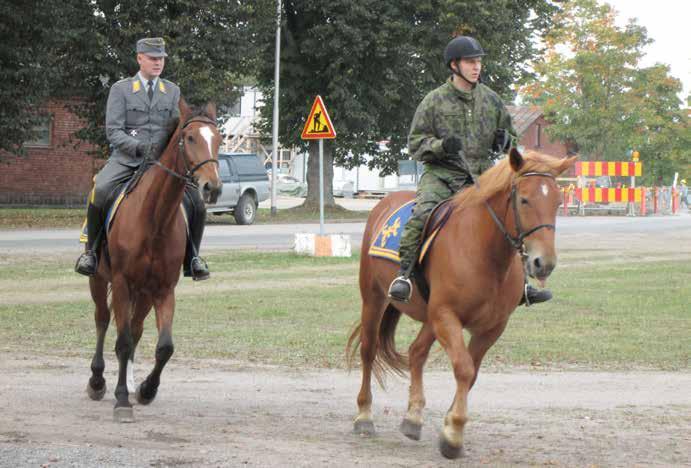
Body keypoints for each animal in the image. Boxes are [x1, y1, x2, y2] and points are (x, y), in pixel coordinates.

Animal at [86, 98, 222, 420]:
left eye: (219, 139)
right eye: (190, 138)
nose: (212, 187)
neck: (154, 218)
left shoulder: (163, 290)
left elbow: (164, 347)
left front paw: (146, 390)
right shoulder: (121, 283)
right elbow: (121, 342)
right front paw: (122, 400)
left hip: (144, 294)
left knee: (135, 330)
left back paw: (130, 383)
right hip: (99, 279)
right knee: (103, 320)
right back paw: (97, 381)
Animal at [346, 148, 580, 458]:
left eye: (557, 201)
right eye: (524, 199)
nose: (544, 263)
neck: (484, 252)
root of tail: (384, 204)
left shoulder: (491, 327)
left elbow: (472, 373)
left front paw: (449, 428)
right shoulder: (447, 316)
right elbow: (464, 368)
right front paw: (454, 434)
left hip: (429, 318)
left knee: (416, 352)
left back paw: (413, 417)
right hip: (374, 298)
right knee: (369, 351)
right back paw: (364, 415)